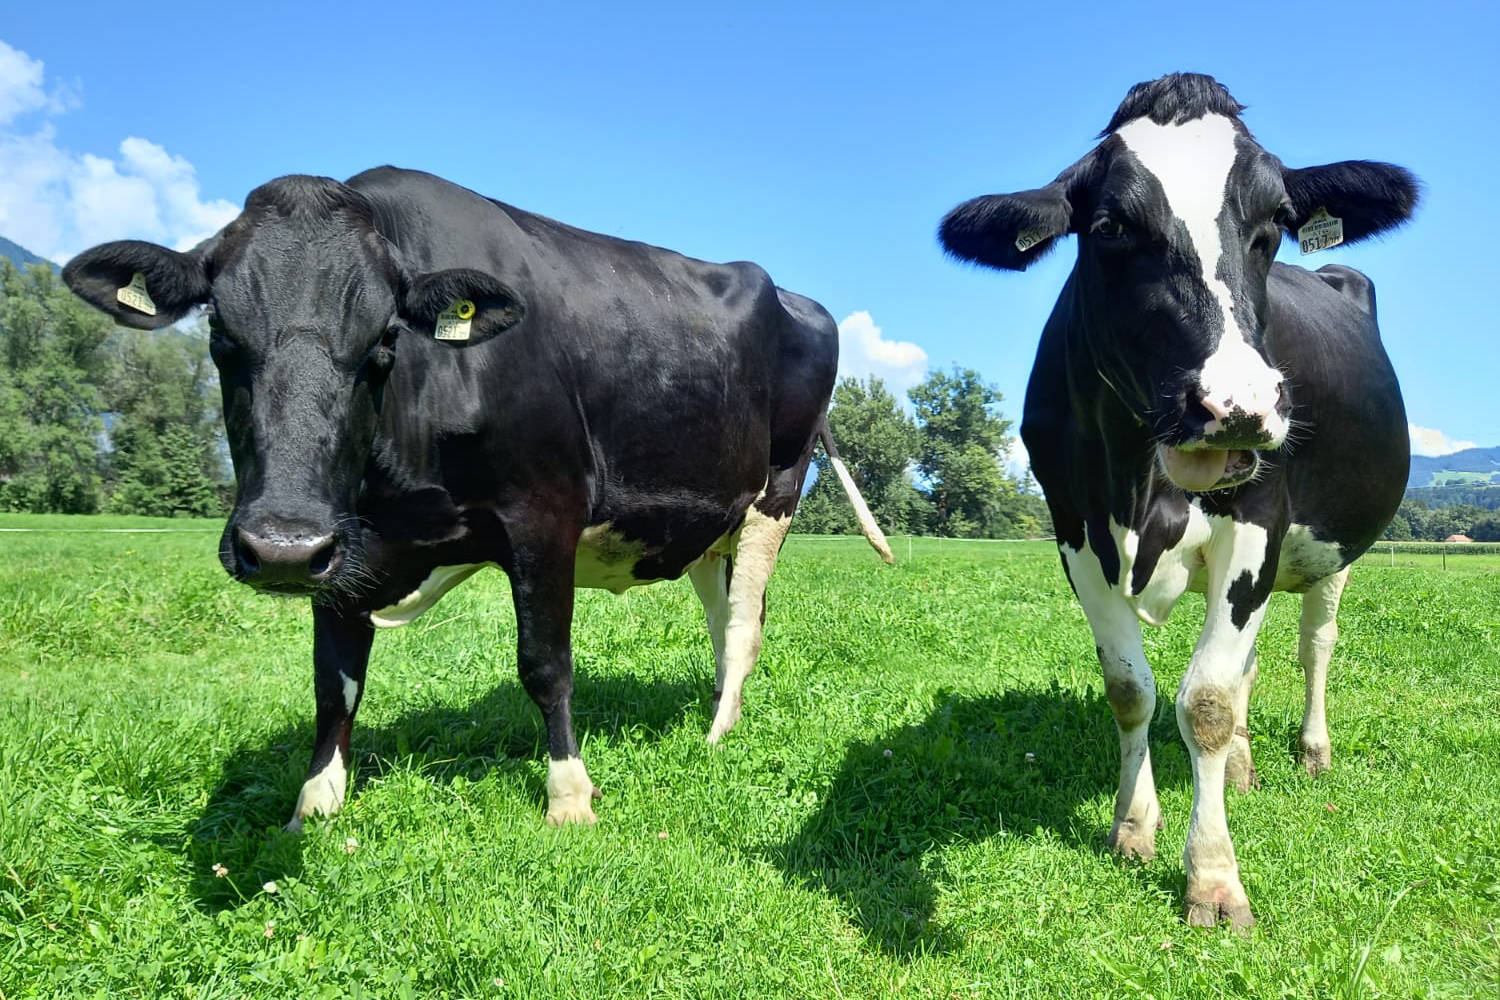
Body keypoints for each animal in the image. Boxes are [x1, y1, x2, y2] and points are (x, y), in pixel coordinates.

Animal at [64, 167, 888, 827]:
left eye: (384, 342)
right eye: (221, 338)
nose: (281, 546)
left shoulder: (545, 515)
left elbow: (546, 664)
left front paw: (570, 798)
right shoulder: (344, 546)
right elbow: (334, 686)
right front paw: (315, 806)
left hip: (775, 493)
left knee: (745, 623)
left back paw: (718, 735)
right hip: (704, 523)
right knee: (724, 617)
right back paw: (721, 711)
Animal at [936, 72, 1416, 929]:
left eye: (1275, 224)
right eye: (1108, 227)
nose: (1237, 406)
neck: (1143, 476)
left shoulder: (1258, 524)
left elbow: (1208, 703)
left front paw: (1214, 877)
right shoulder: (1075, 531)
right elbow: (1132, 691)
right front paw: (1134, 825)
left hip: (1331, 552)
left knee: (1314, 644)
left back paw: (1311, 750)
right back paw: (1247, 767)